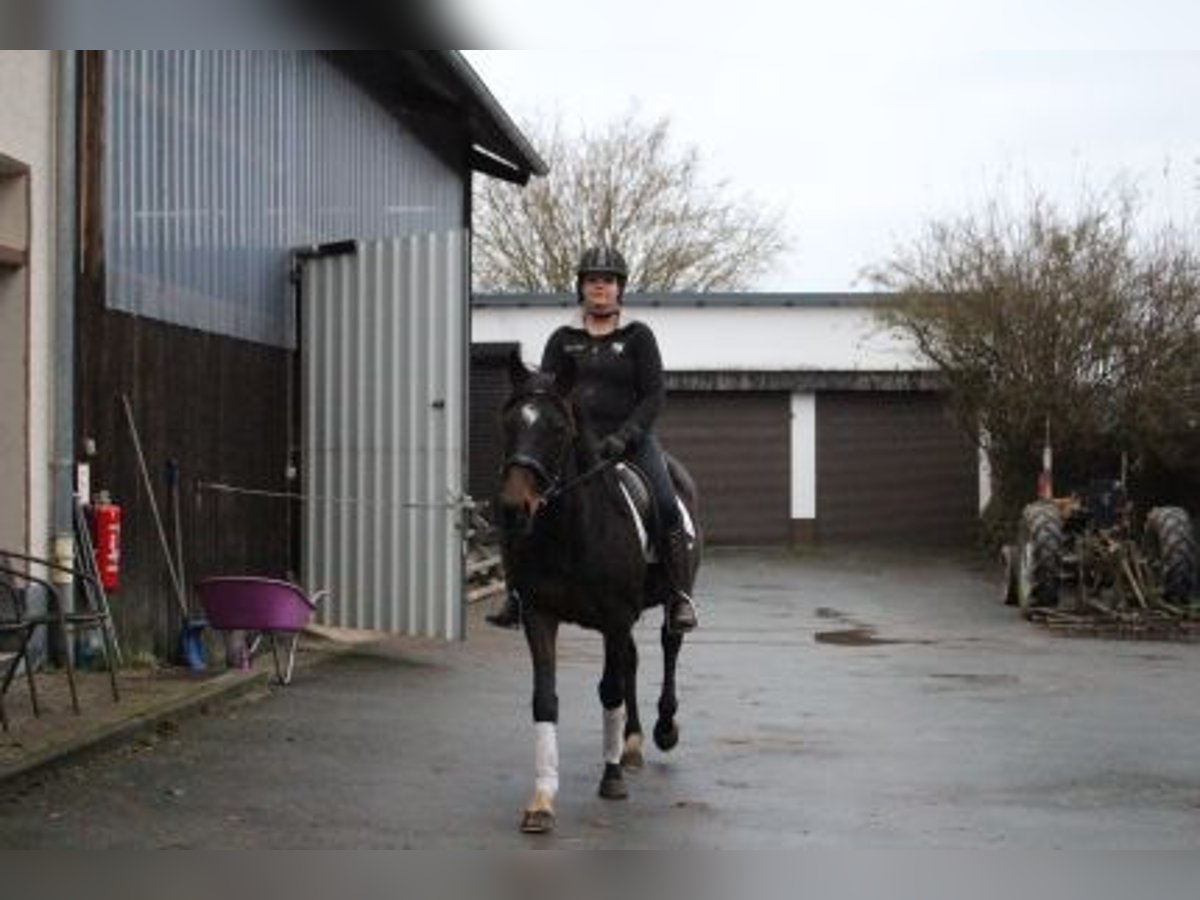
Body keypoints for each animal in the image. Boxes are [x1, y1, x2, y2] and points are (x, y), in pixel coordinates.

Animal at [496, 348, 700, 835]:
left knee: (669, 645)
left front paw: (611, 780)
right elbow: (545, 699)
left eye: (557, 428)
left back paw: (663, 729)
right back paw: (632, 743)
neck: (571, 531)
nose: (513, 509)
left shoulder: (613, 617)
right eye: (509, 423)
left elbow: (609, 691)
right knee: (632, 662)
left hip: (664, 601)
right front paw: (542, 800)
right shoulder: (541, 615)